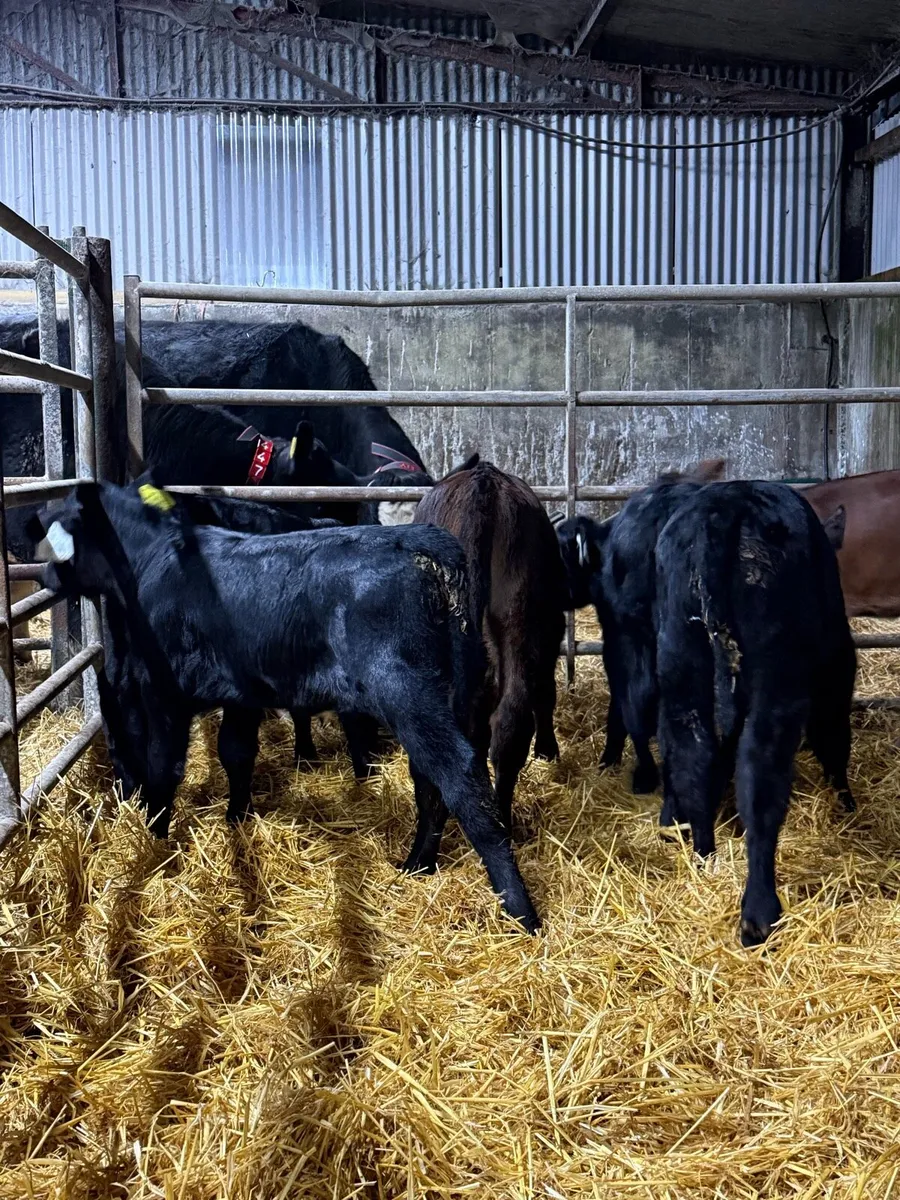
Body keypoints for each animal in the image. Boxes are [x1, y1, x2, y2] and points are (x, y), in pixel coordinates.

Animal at [30, 478, 540, 933]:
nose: (43, 574)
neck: (151, 559)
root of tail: (419, 539)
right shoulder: (240, 693)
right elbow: (235, 753)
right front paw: (236, 818)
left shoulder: (165, 694)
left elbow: (165, 768)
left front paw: (156, 841)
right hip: (453, 694)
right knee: (432, 778)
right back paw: (418, 863)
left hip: (407, 692)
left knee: (461, 775)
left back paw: (520, 911)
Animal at [655, 481, 856, 946]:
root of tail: (726, 504)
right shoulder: (836, 670)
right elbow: (834, 738)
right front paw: (847, 804)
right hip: (777, 675)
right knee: (760, 771)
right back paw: (759, 914)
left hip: (680, 655)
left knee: (692, 750)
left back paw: (704, 856)